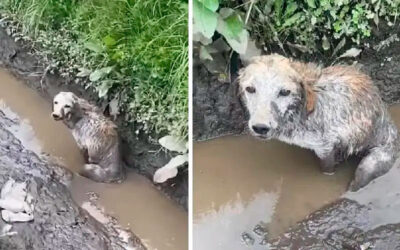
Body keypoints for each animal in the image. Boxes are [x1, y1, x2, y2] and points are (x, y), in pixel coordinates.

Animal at [239, 54, 398, 190]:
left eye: (285, 92)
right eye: (250, 89)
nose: (260, 127)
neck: (300, 112)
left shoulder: (325, 146)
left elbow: (327, 168)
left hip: (371, 161)